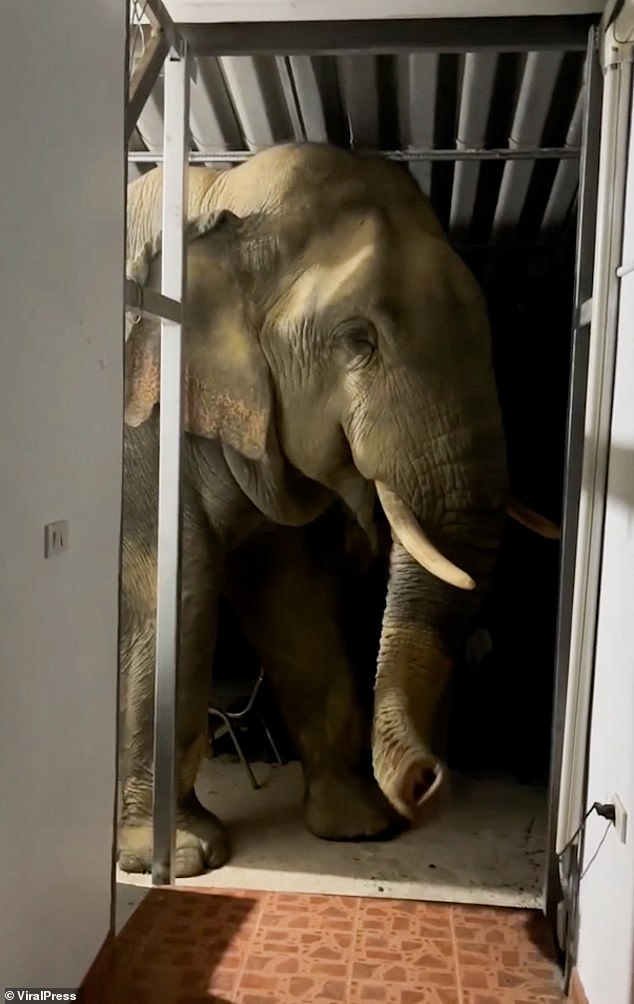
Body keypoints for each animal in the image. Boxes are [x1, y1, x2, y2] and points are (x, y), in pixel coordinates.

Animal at [118, 141, 534, 879]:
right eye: (357, 340)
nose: (429, 782)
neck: (218, 196)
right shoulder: (145, 418)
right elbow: (181, 590)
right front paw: (183, 859)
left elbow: (296, 598)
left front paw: (360, 828)